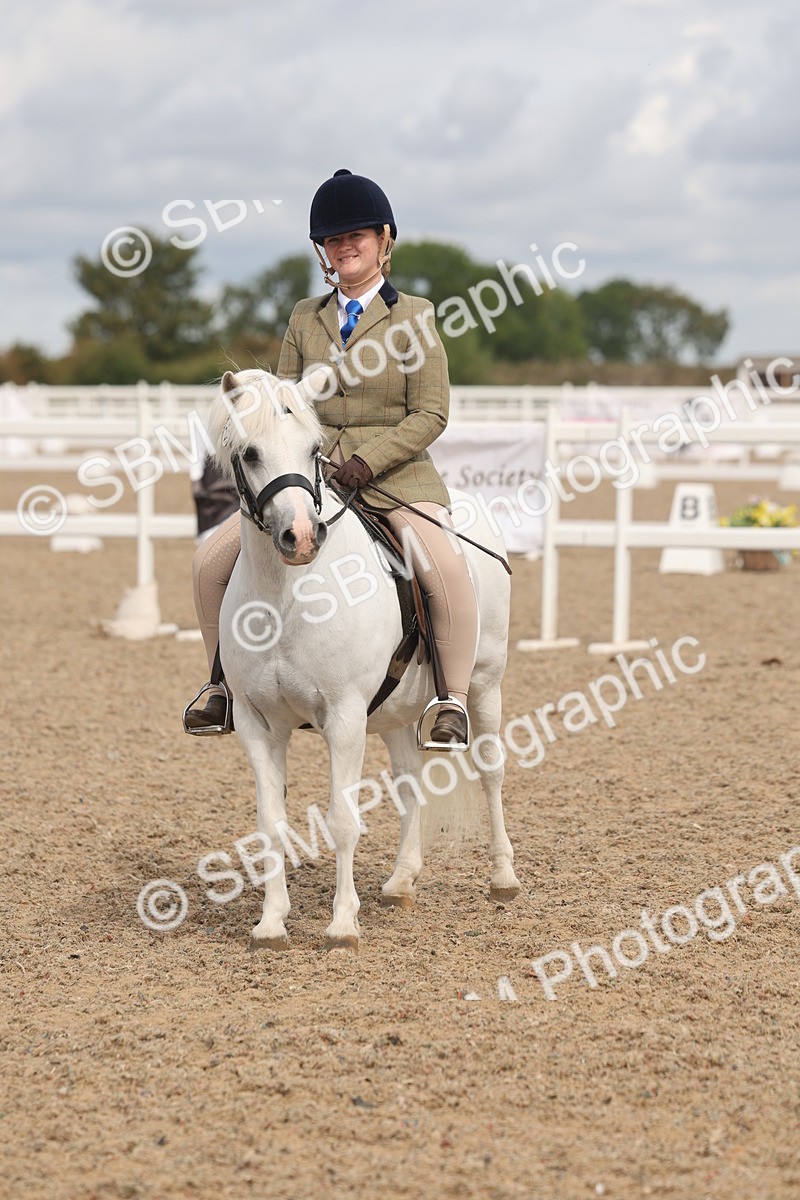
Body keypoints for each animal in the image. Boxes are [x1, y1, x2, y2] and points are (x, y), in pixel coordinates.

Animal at [206, 366, 521, 950]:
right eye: (251, 453)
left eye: (313, 449)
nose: (302, 537)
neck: (287, 592)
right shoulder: (258, 724)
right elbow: (270, 822)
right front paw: (271, 922)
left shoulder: (345, 717)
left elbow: (343, 821)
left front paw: (341, 925)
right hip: (395, 712)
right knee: (409, 783)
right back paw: (401, 881)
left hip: (485, 684)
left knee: (491, 770)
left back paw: (504, 878)